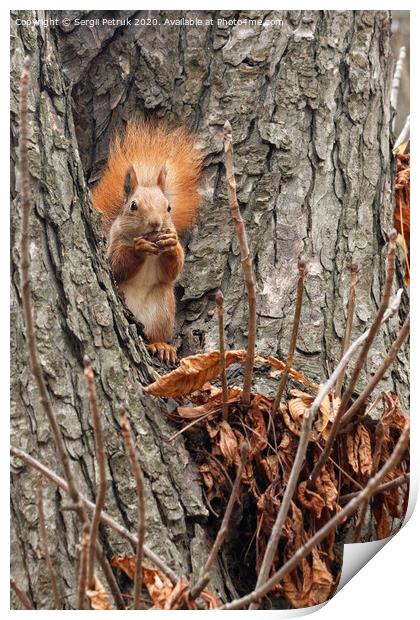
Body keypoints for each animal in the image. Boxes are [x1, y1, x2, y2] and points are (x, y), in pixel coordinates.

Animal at [91, 121, 202, 364]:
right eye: (133, 205)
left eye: (168, 207)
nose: (155, 223)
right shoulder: (114, 245)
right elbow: (118, 265)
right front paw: (138, 249)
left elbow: (174, 269)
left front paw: (170, 245)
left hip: (162, 309)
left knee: (154, 336)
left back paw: (161, 346)